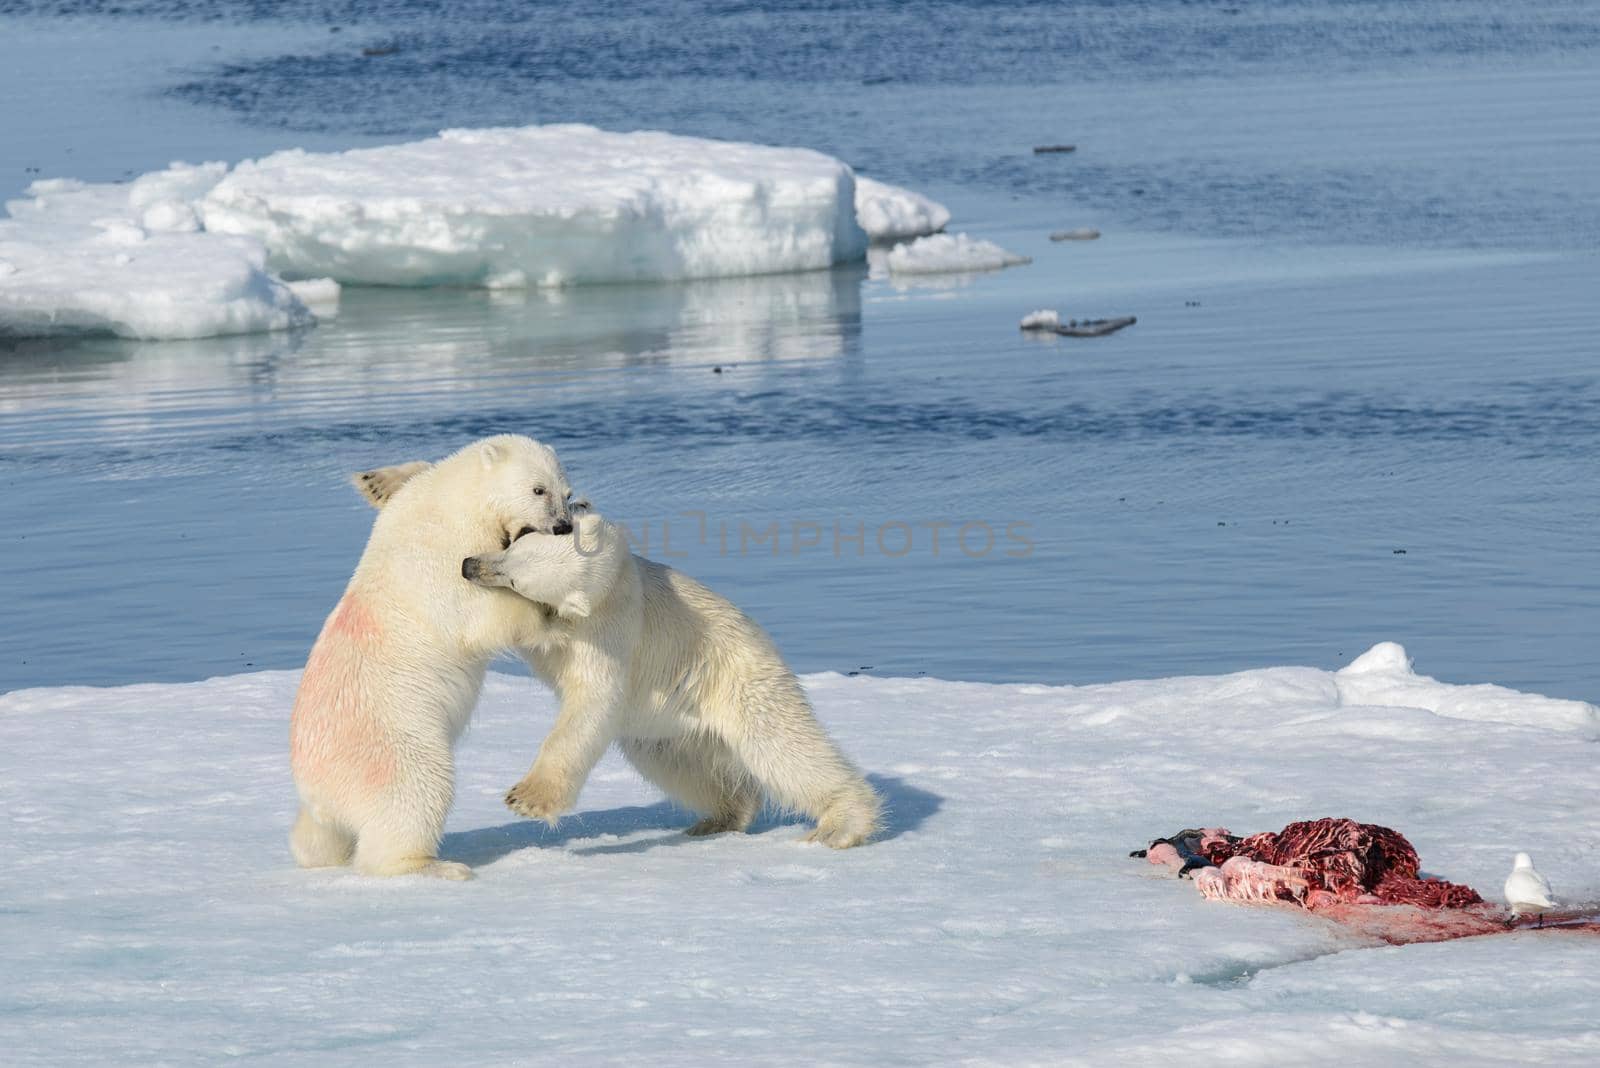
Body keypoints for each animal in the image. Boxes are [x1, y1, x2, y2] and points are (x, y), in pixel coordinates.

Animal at [291, 428, 585, 882]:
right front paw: (555, 616)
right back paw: (438, 866)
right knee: (416, 794)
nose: (562, 526)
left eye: (567, 492)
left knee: (319, 835)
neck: (452, 500)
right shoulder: (438, 552)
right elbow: (479, 614)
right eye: (538, 489)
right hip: (394, 747)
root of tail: (317, 788)